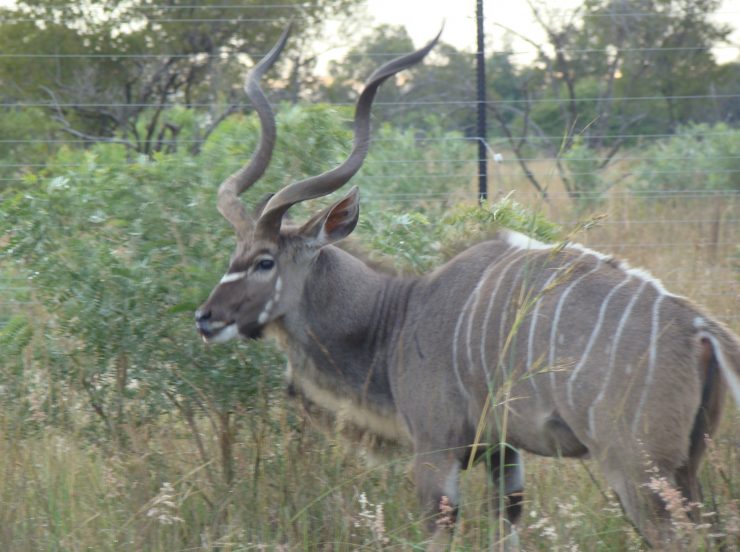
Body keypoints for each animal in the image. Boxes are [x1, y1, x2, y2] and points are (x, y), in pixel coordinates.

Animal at [197, 25, 740, 548]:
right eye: (233, 257)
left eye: (265, 261)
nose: (206, 318)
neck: (398, 314)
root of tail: (701, 329)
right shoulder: (505, 452)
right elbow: (509, 525)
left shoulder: (435, 453)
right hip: (685, 467)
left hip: (639, 471)